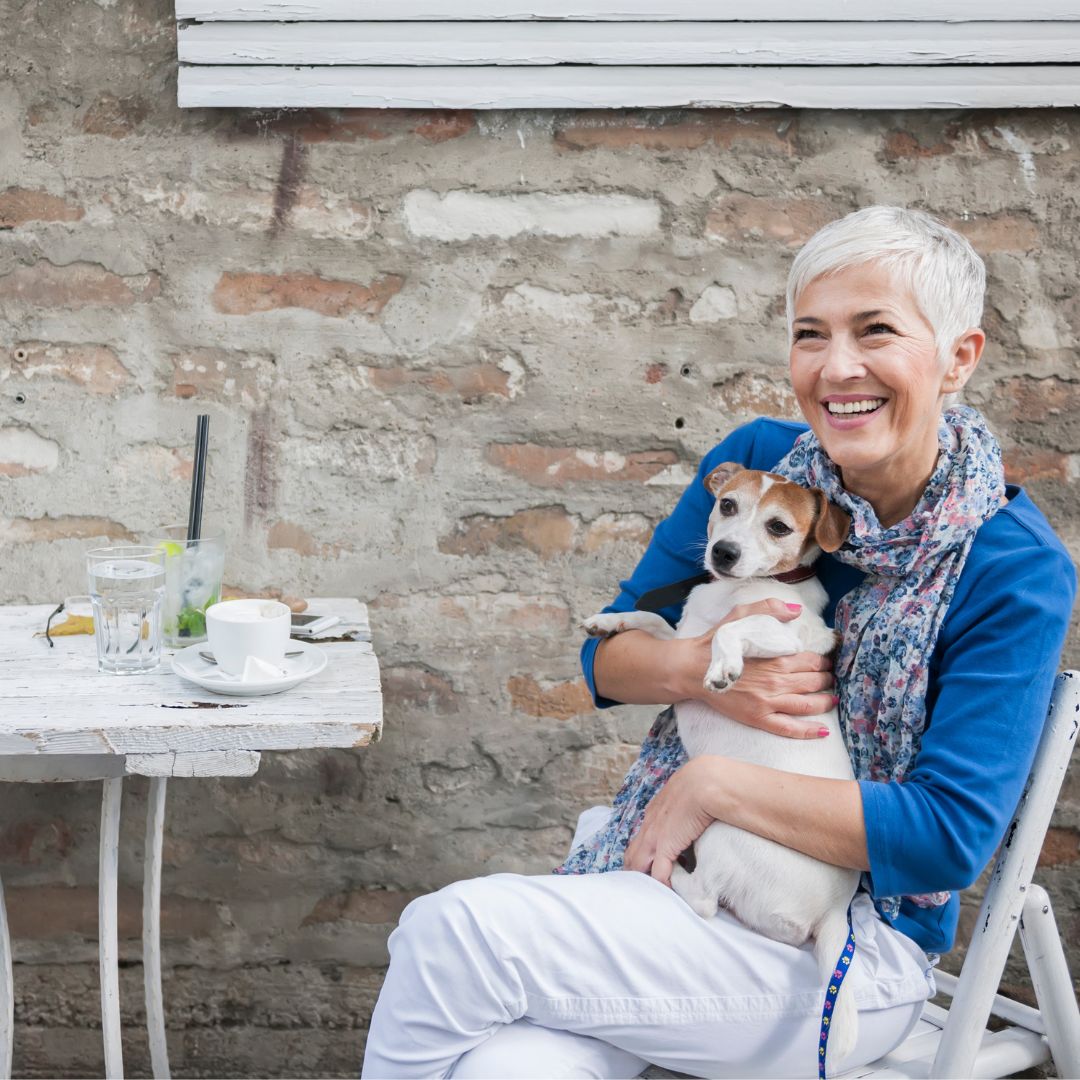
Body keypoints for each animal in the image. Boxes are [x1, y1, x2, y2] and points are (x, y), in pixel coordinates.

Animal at [583, 462, 859, 1071]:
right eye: (727, 505)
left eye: (779, 526)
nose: (723, 552)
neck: (738, 589)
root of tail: (836, 911)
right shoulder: (684, 639)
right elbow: (653, 623)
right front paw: (609, 622)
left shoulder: (784, 637)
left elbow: (732, 632)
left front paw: (724, 667)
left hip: (724, 831)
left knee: (706, 901)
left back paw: (671, 877)